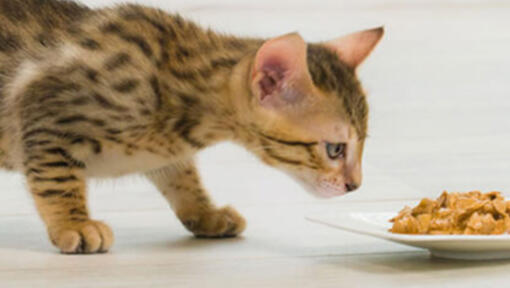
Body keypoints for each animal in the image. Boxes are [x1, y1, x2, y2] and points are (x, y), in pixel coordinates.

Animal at [0, 0, 382, 253]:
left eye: (363, 143)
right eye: (335, 149)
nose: (355, 186)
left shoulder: (165, 152)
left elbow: (183, 178)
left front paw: (205, 213)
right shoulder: (44, 115)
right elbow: (57, 181)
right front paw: (74, 224)